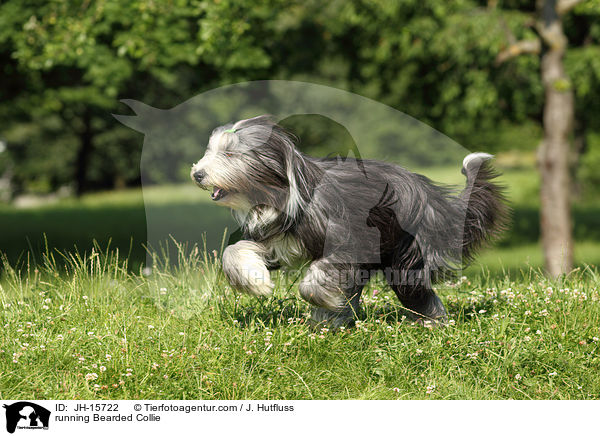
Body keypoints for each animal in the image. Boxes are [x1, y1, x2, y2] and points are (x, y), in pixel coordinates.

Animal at [191, 116, 506, 328]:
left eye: (230, 154)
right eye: (211, 151)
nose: (197, 174)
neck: (290, 193)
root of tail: (431, 198)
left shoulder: (350, 240)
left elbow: (318, 276)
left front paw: (326, 300)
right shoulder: (279, 241)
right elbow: (234, 252)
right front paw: (256, 282)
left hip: (405, 255)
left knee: (417, 292)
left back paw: (432, 324)